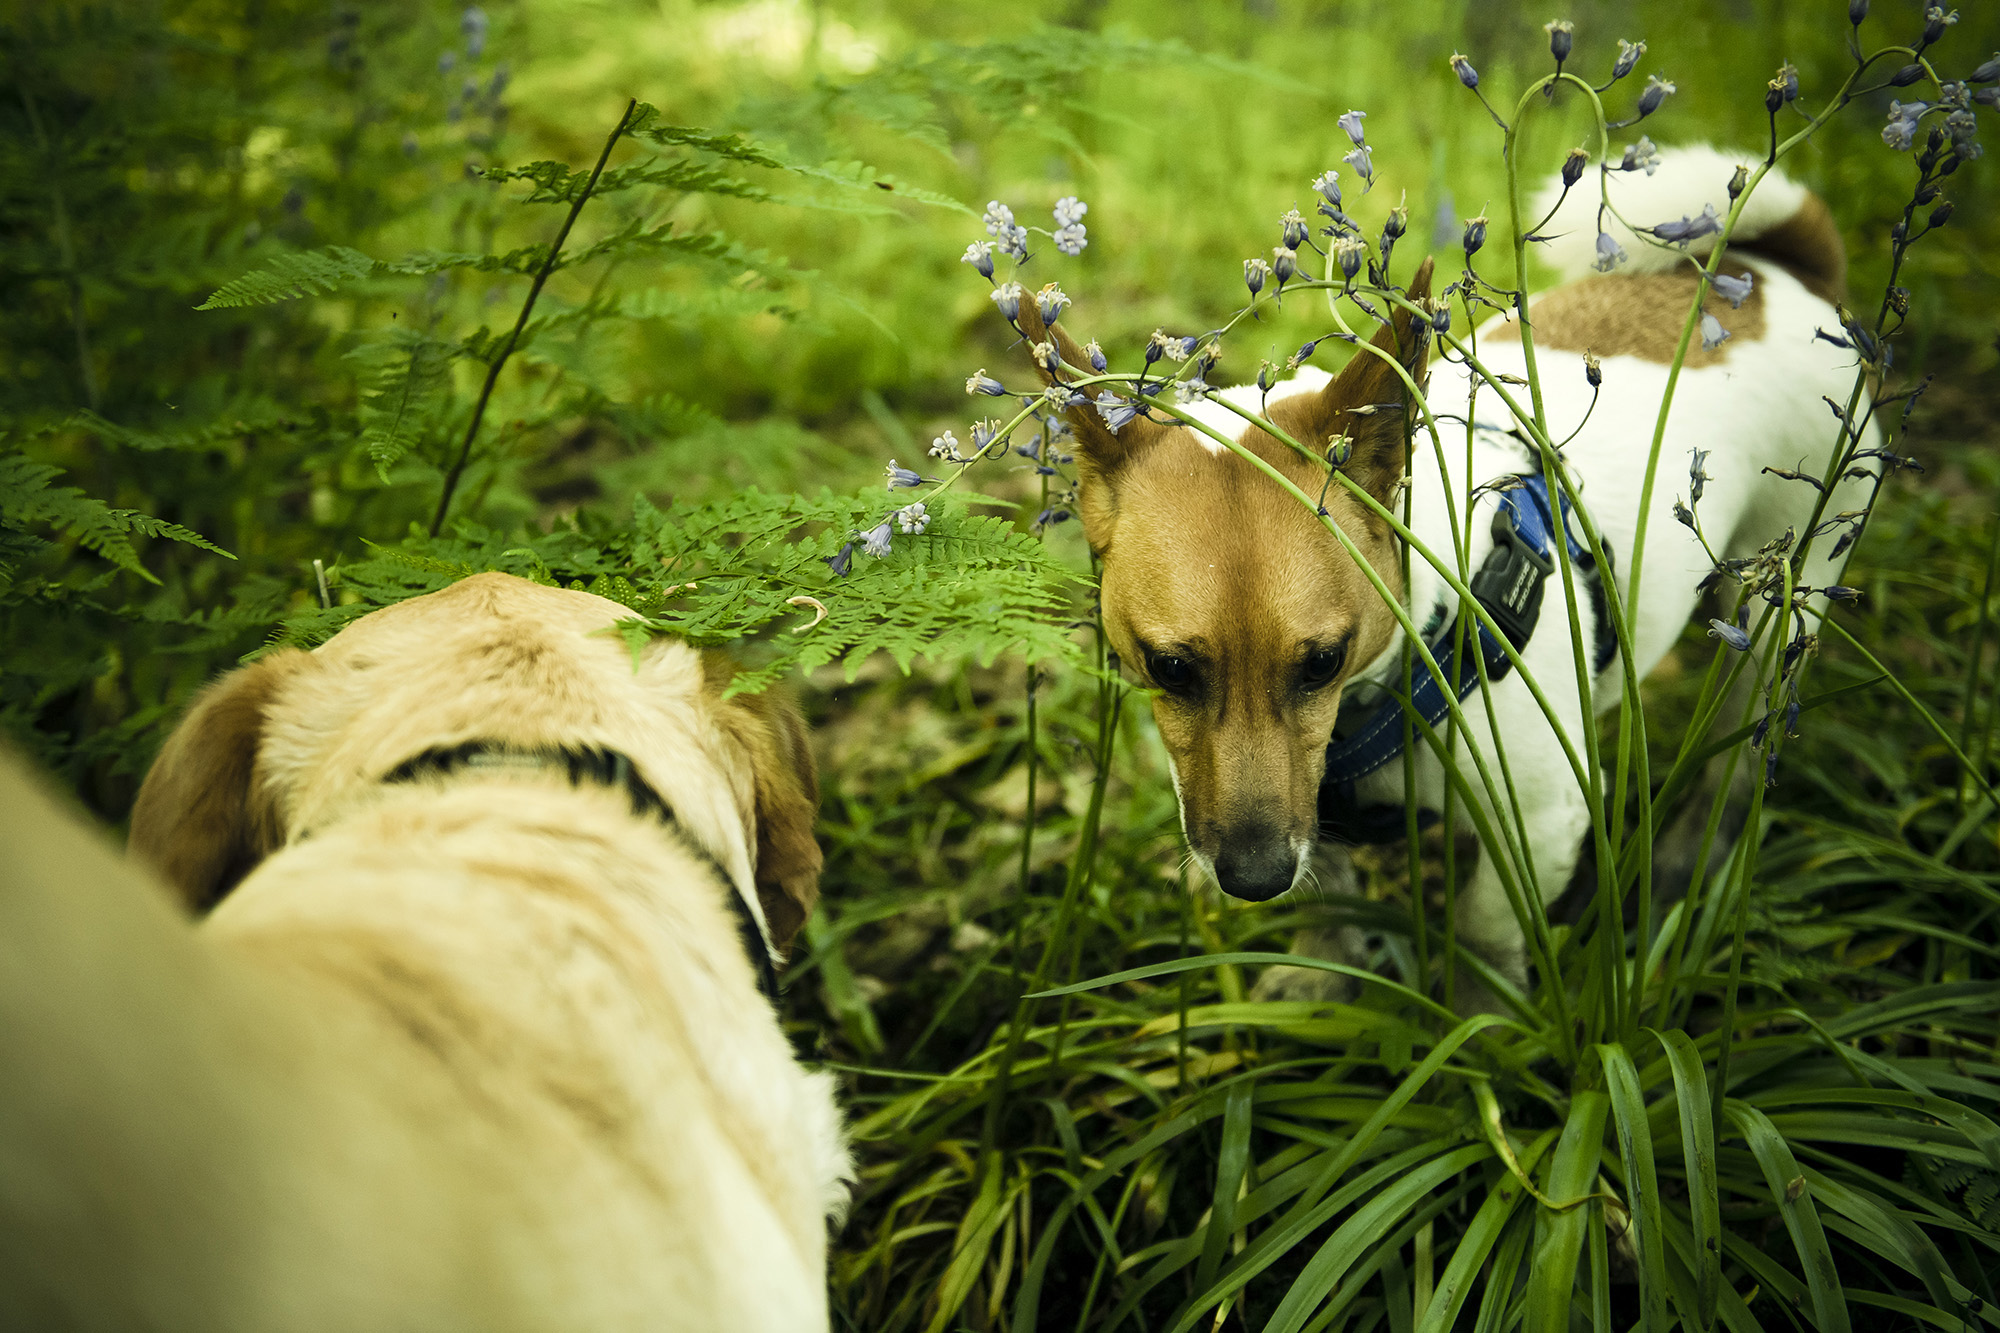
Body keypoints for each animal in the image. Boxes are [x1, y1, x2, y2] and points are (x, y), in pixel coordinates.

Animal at [1016, 145, 1872, 992]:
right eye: (1168, 668)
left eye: (1322, 662)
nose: (1254, 879)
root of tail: (1774, 272)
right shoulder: (1309, 803)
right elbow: (1330, 895)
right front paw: (1321, 976)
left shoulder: (1542, 821)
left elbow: (1488, 929)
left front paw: (1485, 1004)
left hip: (1775, 620)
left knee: (1741, 749)